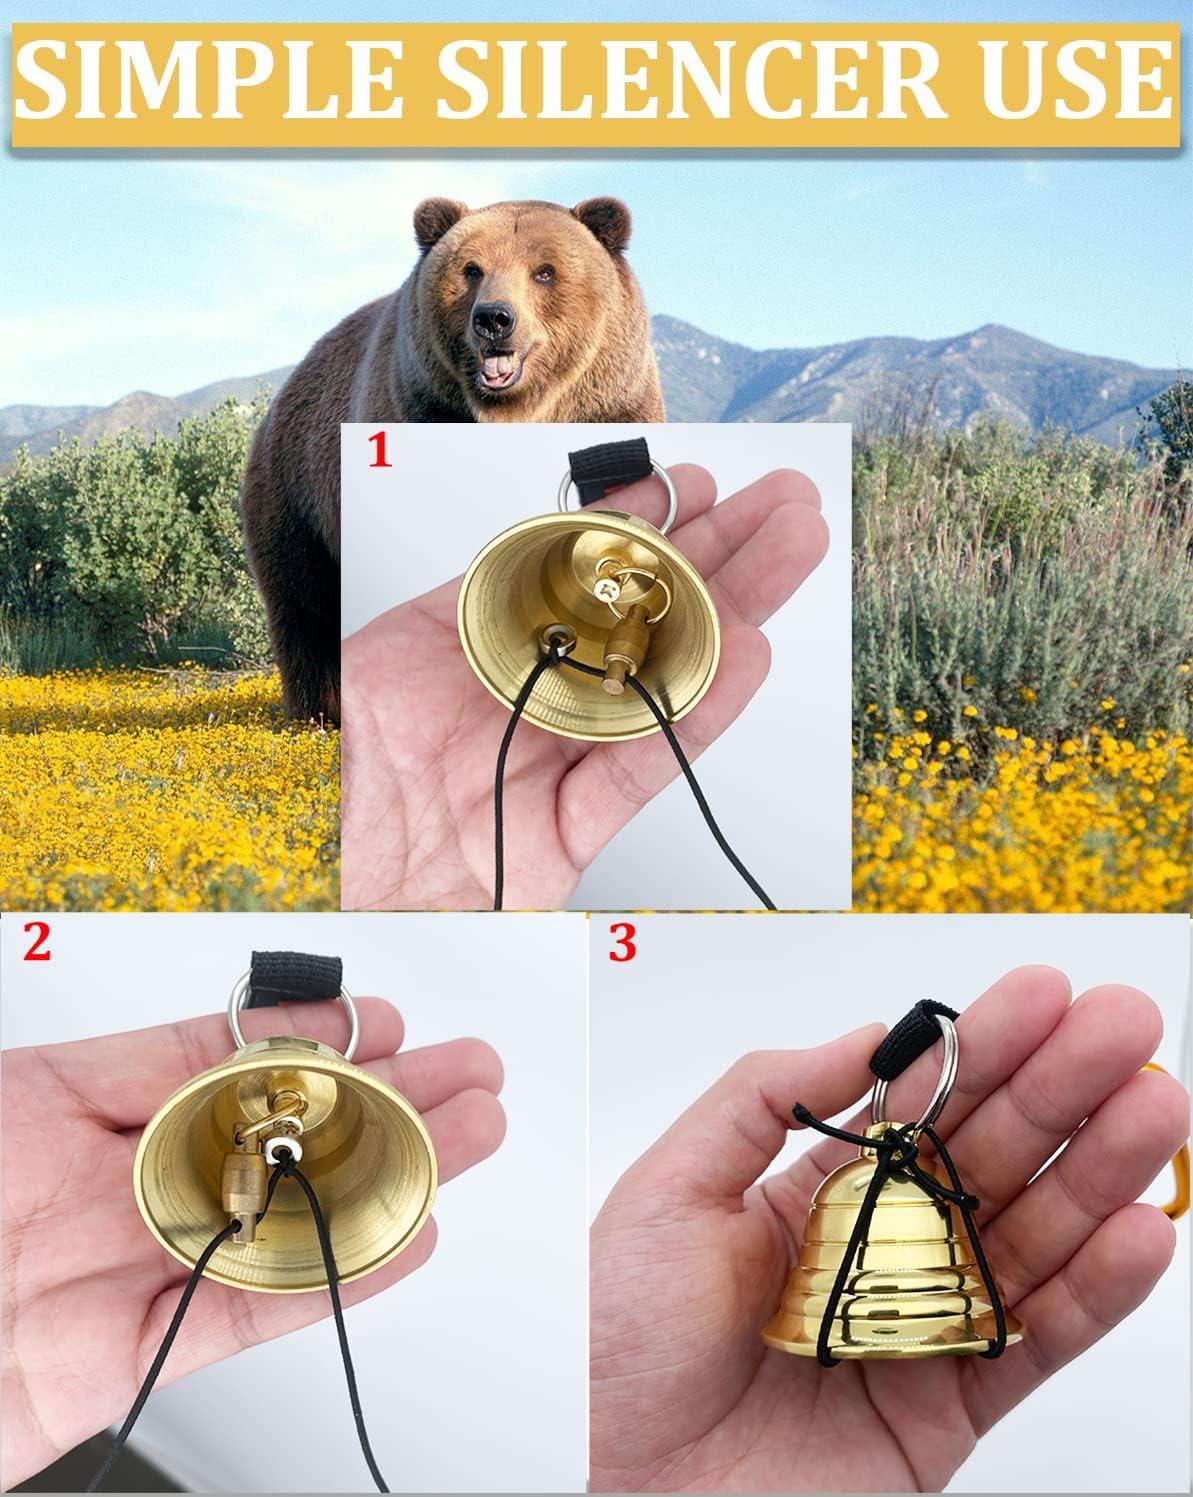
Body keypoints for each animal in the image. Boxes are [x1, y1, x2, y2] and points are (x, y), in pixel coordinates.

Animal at [240, 195, 663, 723]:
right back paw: (319, 714)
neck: (514, 412)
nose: (494, 318)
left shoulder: (612, 405)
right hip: (297, 496)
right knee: (305, 607)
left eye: (545, 271)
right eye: (472, 269)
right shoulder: (414, 410)